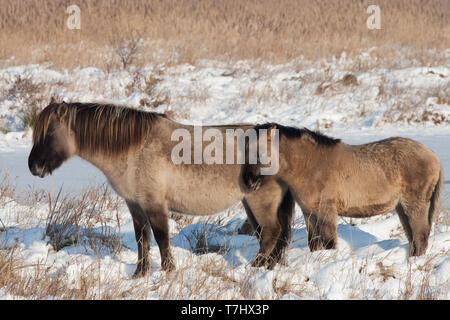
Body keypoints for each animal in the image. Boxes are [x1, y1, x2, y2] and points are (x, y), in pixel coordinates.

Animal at [28, 102, 296, 276]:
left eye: (49, 132)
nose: (33, 166)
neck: (135, 149)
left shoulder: (154, 203)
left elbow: (161, 237)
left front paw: (168, 271)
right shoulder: (134, 204)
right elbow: (142, 238)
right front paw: (140, 273)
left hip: (261, 203)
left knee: (271, 233)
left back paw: (255, 267)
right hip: (250, 203)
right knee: (269, 235)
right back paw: (265, 267)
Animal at [243, 123, 442, 258]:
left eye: (259, 152)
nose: (249, 181)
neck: (311, 164)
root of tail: (433, 156)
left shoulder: (327, 211)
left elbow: (330, 242)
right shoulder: (309, 213)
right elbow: (314, 243)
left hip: (415, 205)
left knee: (420, 236)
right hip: (402, 208)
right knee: (414, 238)